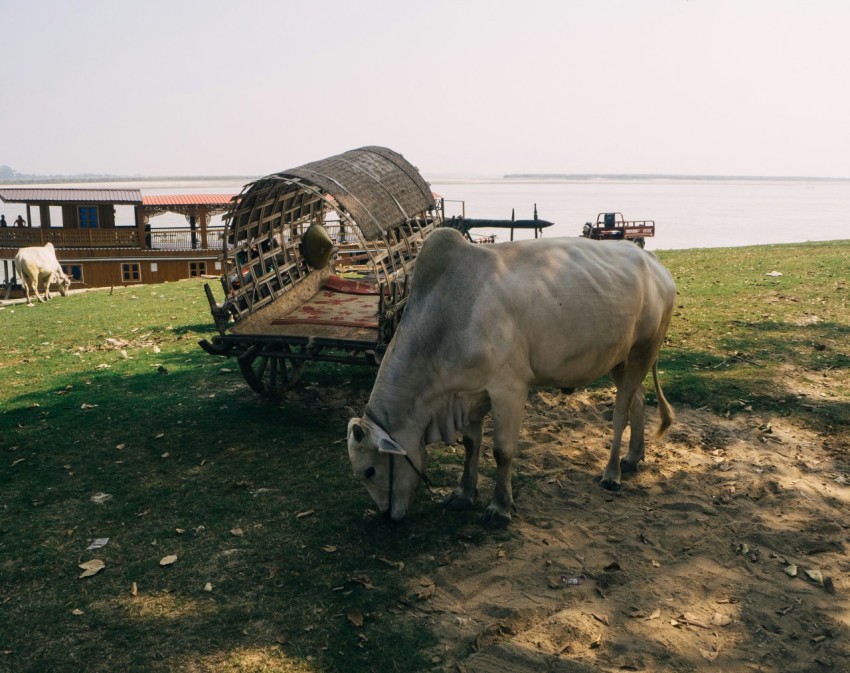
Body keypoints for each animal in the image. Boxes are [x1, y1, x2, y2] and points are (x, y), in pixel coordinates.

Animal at [346, 228, 676, 528]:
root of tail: (654, 262)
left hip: (644, 349)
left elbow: (502, 451)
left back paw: (612, 473)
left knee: (621, 413)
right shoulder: (468, 393)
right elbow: (471, 444)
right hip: (621, 359)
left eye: (370, 471)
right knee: (637, 400)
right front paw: (464, 493)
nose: (387, 516)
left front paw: (499, 508)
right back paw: (633, 457)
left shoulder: (509, 389)